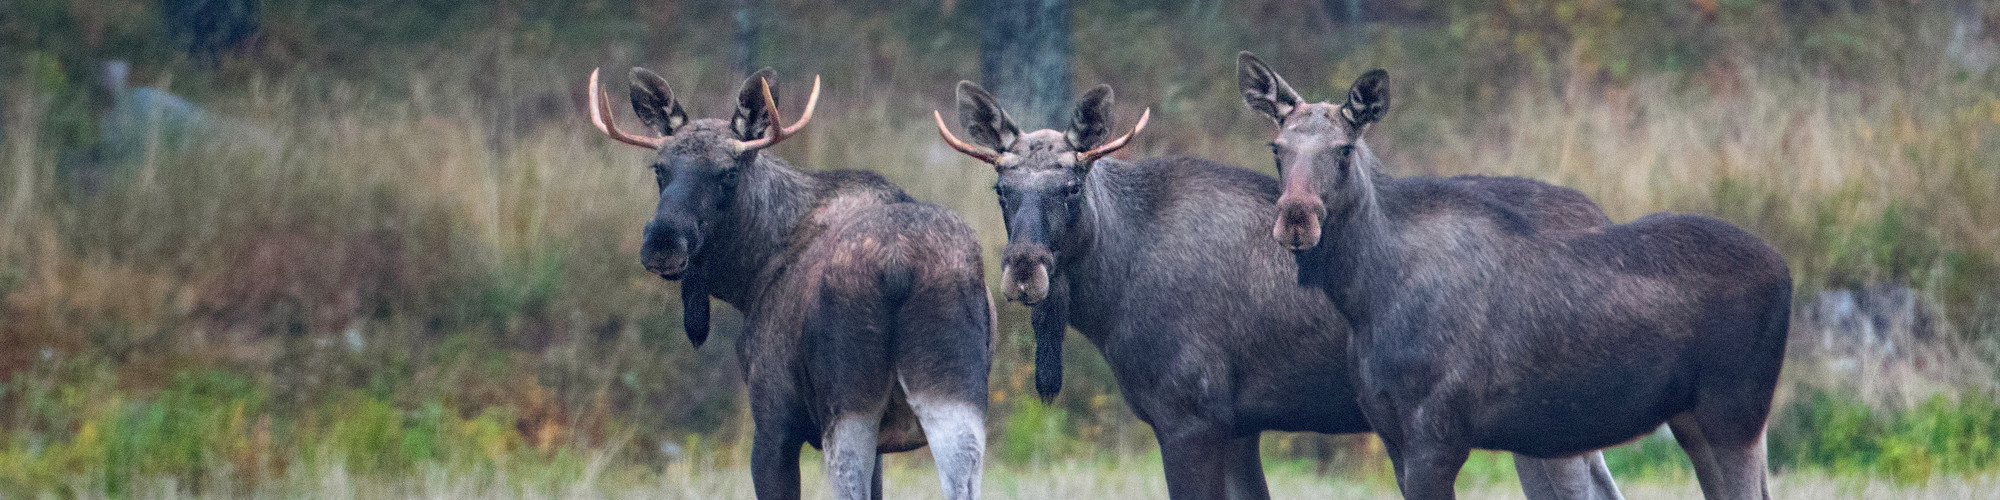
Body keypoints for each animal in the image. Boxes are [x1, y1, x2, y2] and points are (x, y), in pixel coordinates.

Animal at [586, 66, 993, 500]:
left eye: (729, 172)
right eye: (659, 168)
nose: (664, 241)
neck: (749, 277)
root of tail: (898, 267)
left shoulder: (773, 423)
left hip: (848, 405)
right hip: (954, 397)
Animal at [936, 78, 1626, 500]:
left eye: (1071, 186)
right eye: (1002, 189)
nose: (1024, 269)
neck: (1111, 296)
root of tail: (1601, 215)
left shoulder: (1189, 416)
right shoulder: (1240, 424)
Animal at [1239, 52, 1791, 499]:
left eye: (1345, 149)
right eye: (1276, 148)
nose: (1296, 219)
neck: (1364, 300)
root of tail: (1786, 271)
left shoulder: (1437, 436)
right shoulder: (1392, 435)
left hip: (1735, 412)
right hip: (1692, 416)